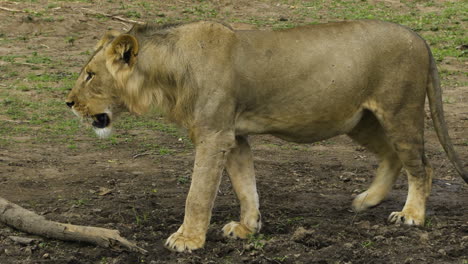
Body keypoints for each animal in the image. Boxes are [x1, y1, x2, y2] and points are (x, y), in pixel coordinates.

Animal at [66, 20, 468, 252]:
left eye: (90, 75)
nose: (69, 102)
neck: (166, 77)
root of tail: (420, 39)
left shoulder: (213, 135)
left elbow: (198, 194)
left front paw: (187, 240)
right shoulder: (235, 137)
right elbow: (246, 185)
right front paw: (248, 227)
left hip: (400, 111)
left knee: (422, 164)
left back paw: (411, 215)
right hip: (360, 119)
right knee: (392, 155)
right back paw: (366, 201)